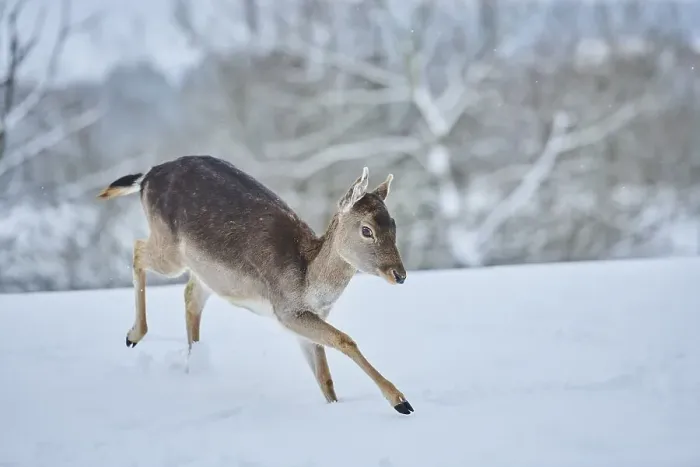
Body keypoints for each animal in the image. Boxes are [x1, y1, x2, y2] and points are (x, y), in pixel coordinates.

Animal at [97, 155, 414, 415]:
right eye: (366, 230)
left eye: (394, 224)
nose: (399, 274)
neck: (308, 281)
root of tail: (146, 176)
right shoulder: (286, 311)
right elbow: (345, 340)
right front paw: (401, 401)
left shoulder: (309, 318)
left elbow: (325, 380)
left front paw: (338, 406)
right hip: (170, 251)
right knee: (138, 249)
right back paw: (134, 335)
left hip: (206, 272)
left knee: (190, 295)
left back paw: (193, 365)